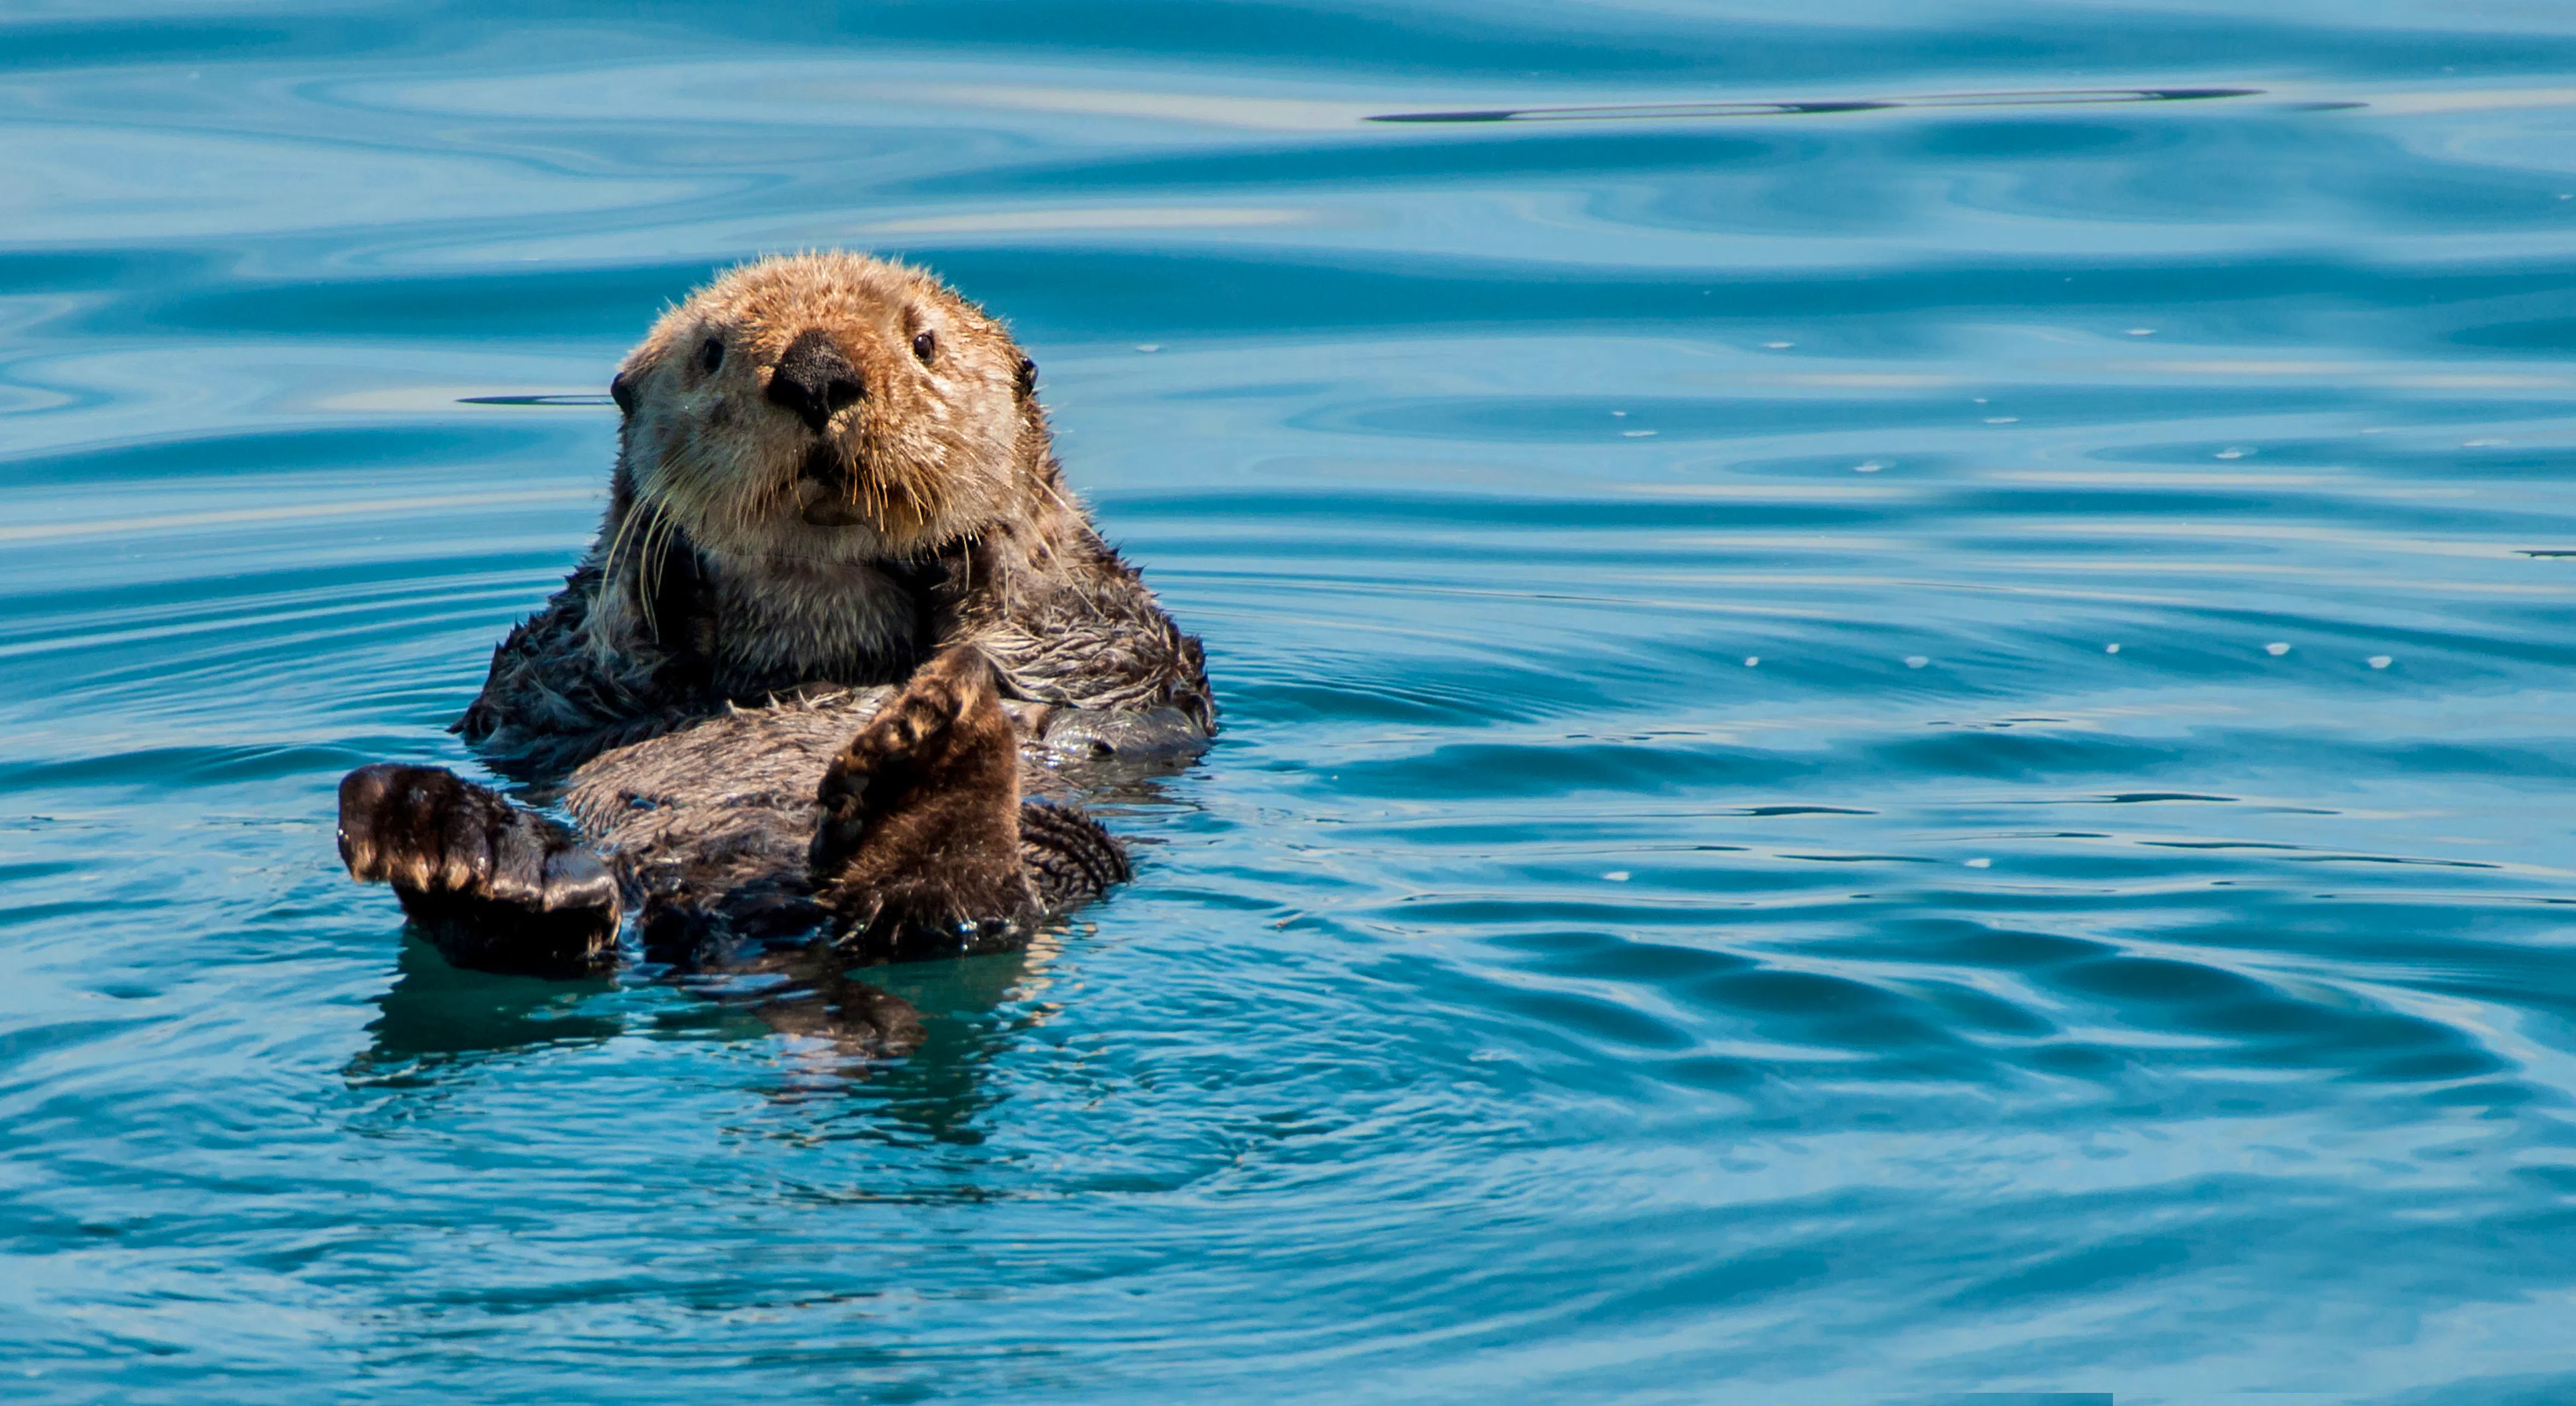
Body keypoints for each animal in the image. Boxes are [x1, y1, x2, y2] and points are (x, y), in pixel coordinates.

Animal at [335, 252, 1212, 1047]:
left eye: (924, 343)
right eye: (711, 351)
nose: (816, 374)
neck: (825, 626)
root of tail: (770, 932)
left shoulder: (1114, 634)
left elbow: (1062, 637)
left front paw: (975, 552)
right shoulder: (550, 680)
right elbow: (577, 659)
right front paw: (655, 562)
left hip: (1063, 850)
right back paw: (464, 845)